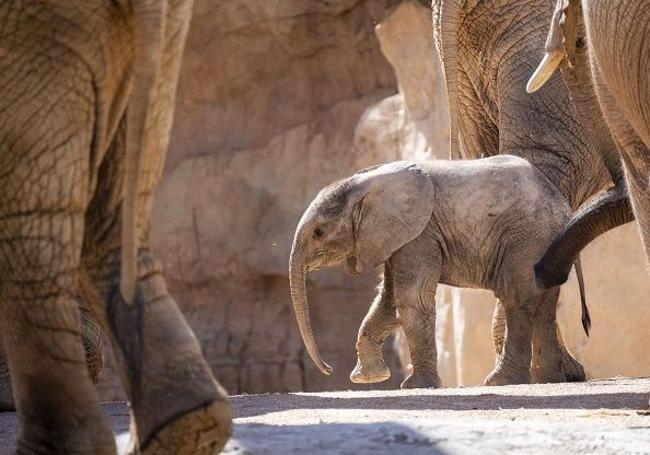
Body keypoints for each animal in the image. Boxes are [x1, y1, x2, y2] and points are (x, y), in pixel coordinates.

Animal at [288, 157, 584, 388]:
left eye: (318, 233)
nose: (328, 369)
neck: (363, 184)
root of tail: (563, 206)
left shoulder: (420, 234)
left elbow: (410, 299)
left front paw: (415, 386)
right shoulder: (397, 238)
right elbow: (389, 301)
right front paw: (369, 378)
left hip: (525, 240)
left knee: (516, 300)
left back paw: (501, 382)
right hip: (542, 244)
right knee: (544, 304)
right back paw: (547, 379)